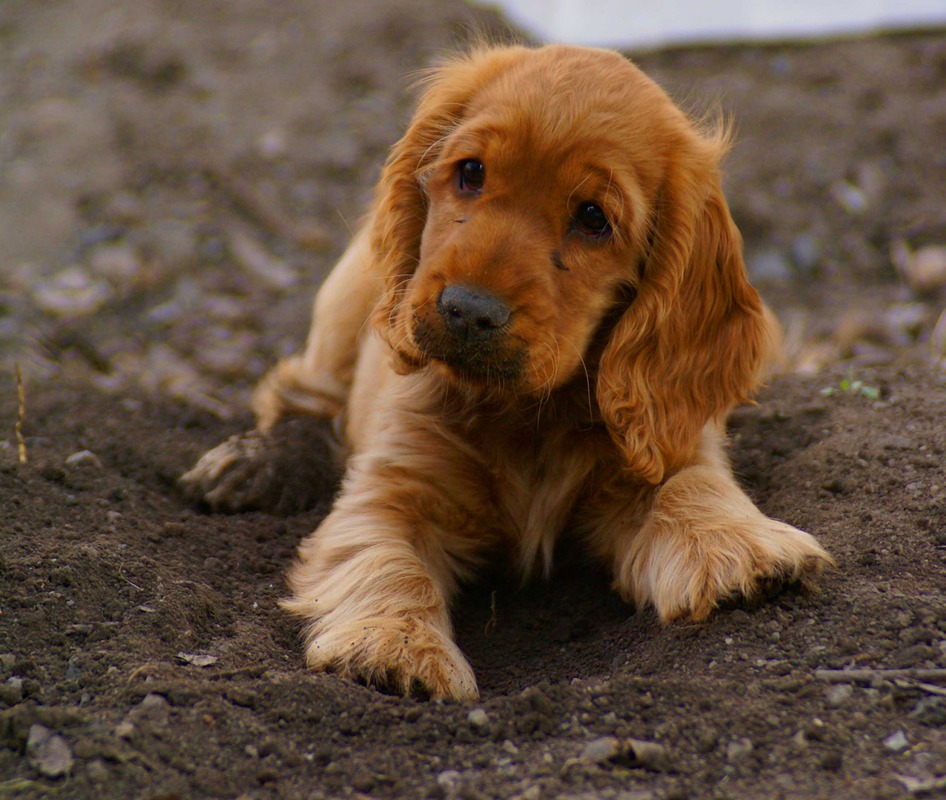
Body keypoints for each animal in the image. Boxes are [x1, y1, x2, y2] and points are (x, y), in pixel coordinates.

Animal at [181, 43, 828, 696]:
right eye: (471, 173)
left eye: (593, 218)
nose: (467, 311)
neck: (526, 414)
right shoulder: (396, 485)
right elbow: (386, 558)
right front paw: (397, 646)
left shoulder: (664, 443)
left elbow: (690, 484)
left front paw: (740, 547)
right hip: (348, 299)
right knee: (304, 390)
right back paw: (256, 461)